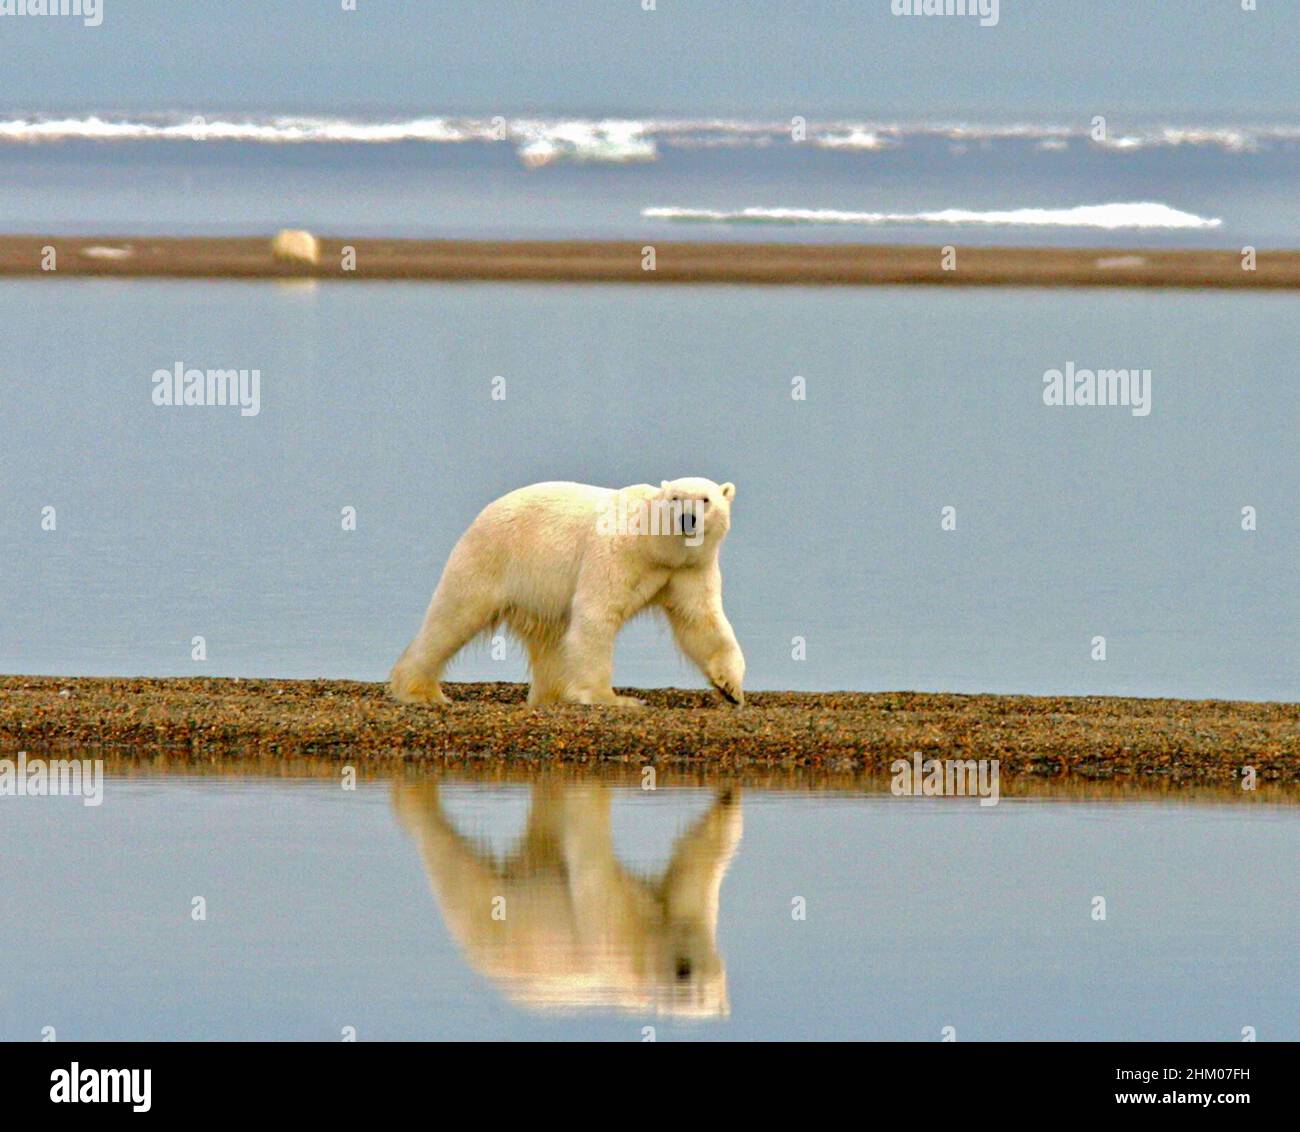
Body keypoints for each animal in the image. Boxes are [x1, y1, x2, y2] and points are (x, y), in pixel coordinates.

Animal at [389, 477, 745, 708]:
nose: (688, 519)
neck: (654, 547)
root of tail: (481, 515)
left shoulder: (689, 569)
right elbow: (596, 613)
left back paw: (553, 695)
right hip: (492, 556)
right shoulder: (615, 552)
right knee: (453, 618)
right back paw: (420, 690)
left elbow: (700, 621)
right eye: (675, 498)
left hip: (536, 589)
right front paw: (611, 698)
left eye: (705, 500)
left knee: (549, 638)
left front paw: (730, 688)